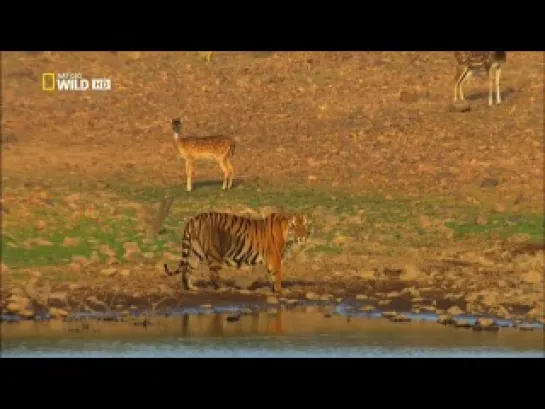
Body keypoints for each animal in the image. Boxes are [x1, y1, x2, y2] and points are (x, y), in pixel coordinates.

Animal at [162, 210, 310, 294]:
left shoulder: (271, 259)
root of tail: (194, 219)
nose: (302, 237)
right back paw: (222, 288)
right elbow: (277, 275)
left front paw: (273, 290)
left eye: (304, 226)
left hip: (195, 252)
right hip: (215, 253)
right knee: (213, 274)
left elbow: (271, 275)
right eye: (294, 226)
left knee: (186, 270)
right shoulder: (275, 257)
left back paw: (190, 288)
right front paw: (280, 291)